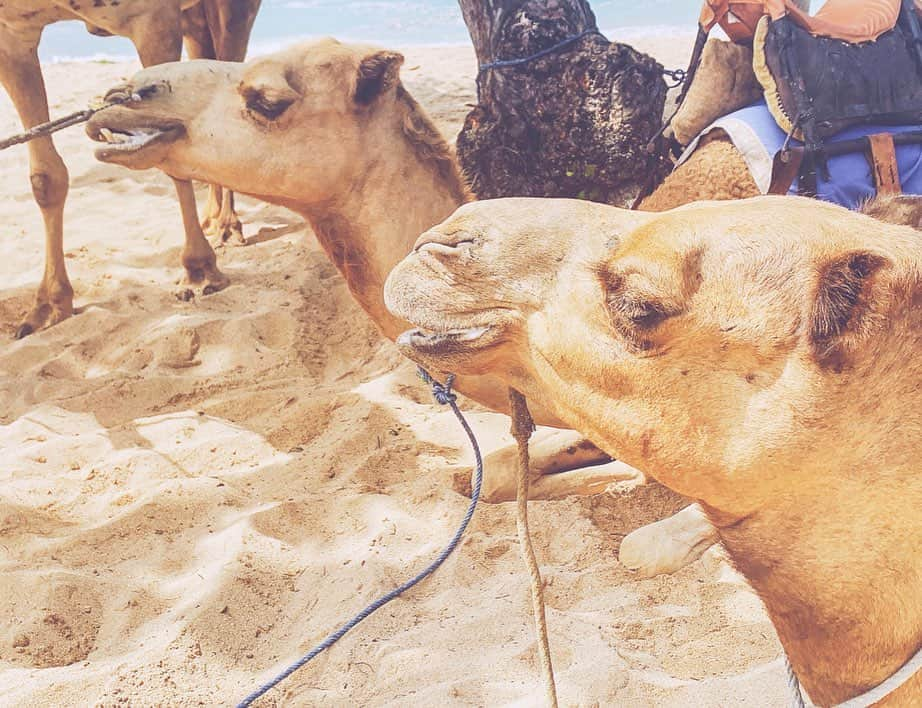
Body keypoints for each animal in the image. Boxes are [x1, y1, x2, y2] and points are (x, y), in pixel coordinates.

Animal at [0, 0, 258, 340]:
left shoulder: (152, 18)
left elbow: (174, 153)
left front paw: (200, 271)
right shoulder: (11, 32)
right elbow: (45, 177)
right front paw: (49, 305)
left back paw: (228, 225)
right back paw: (214, 220)